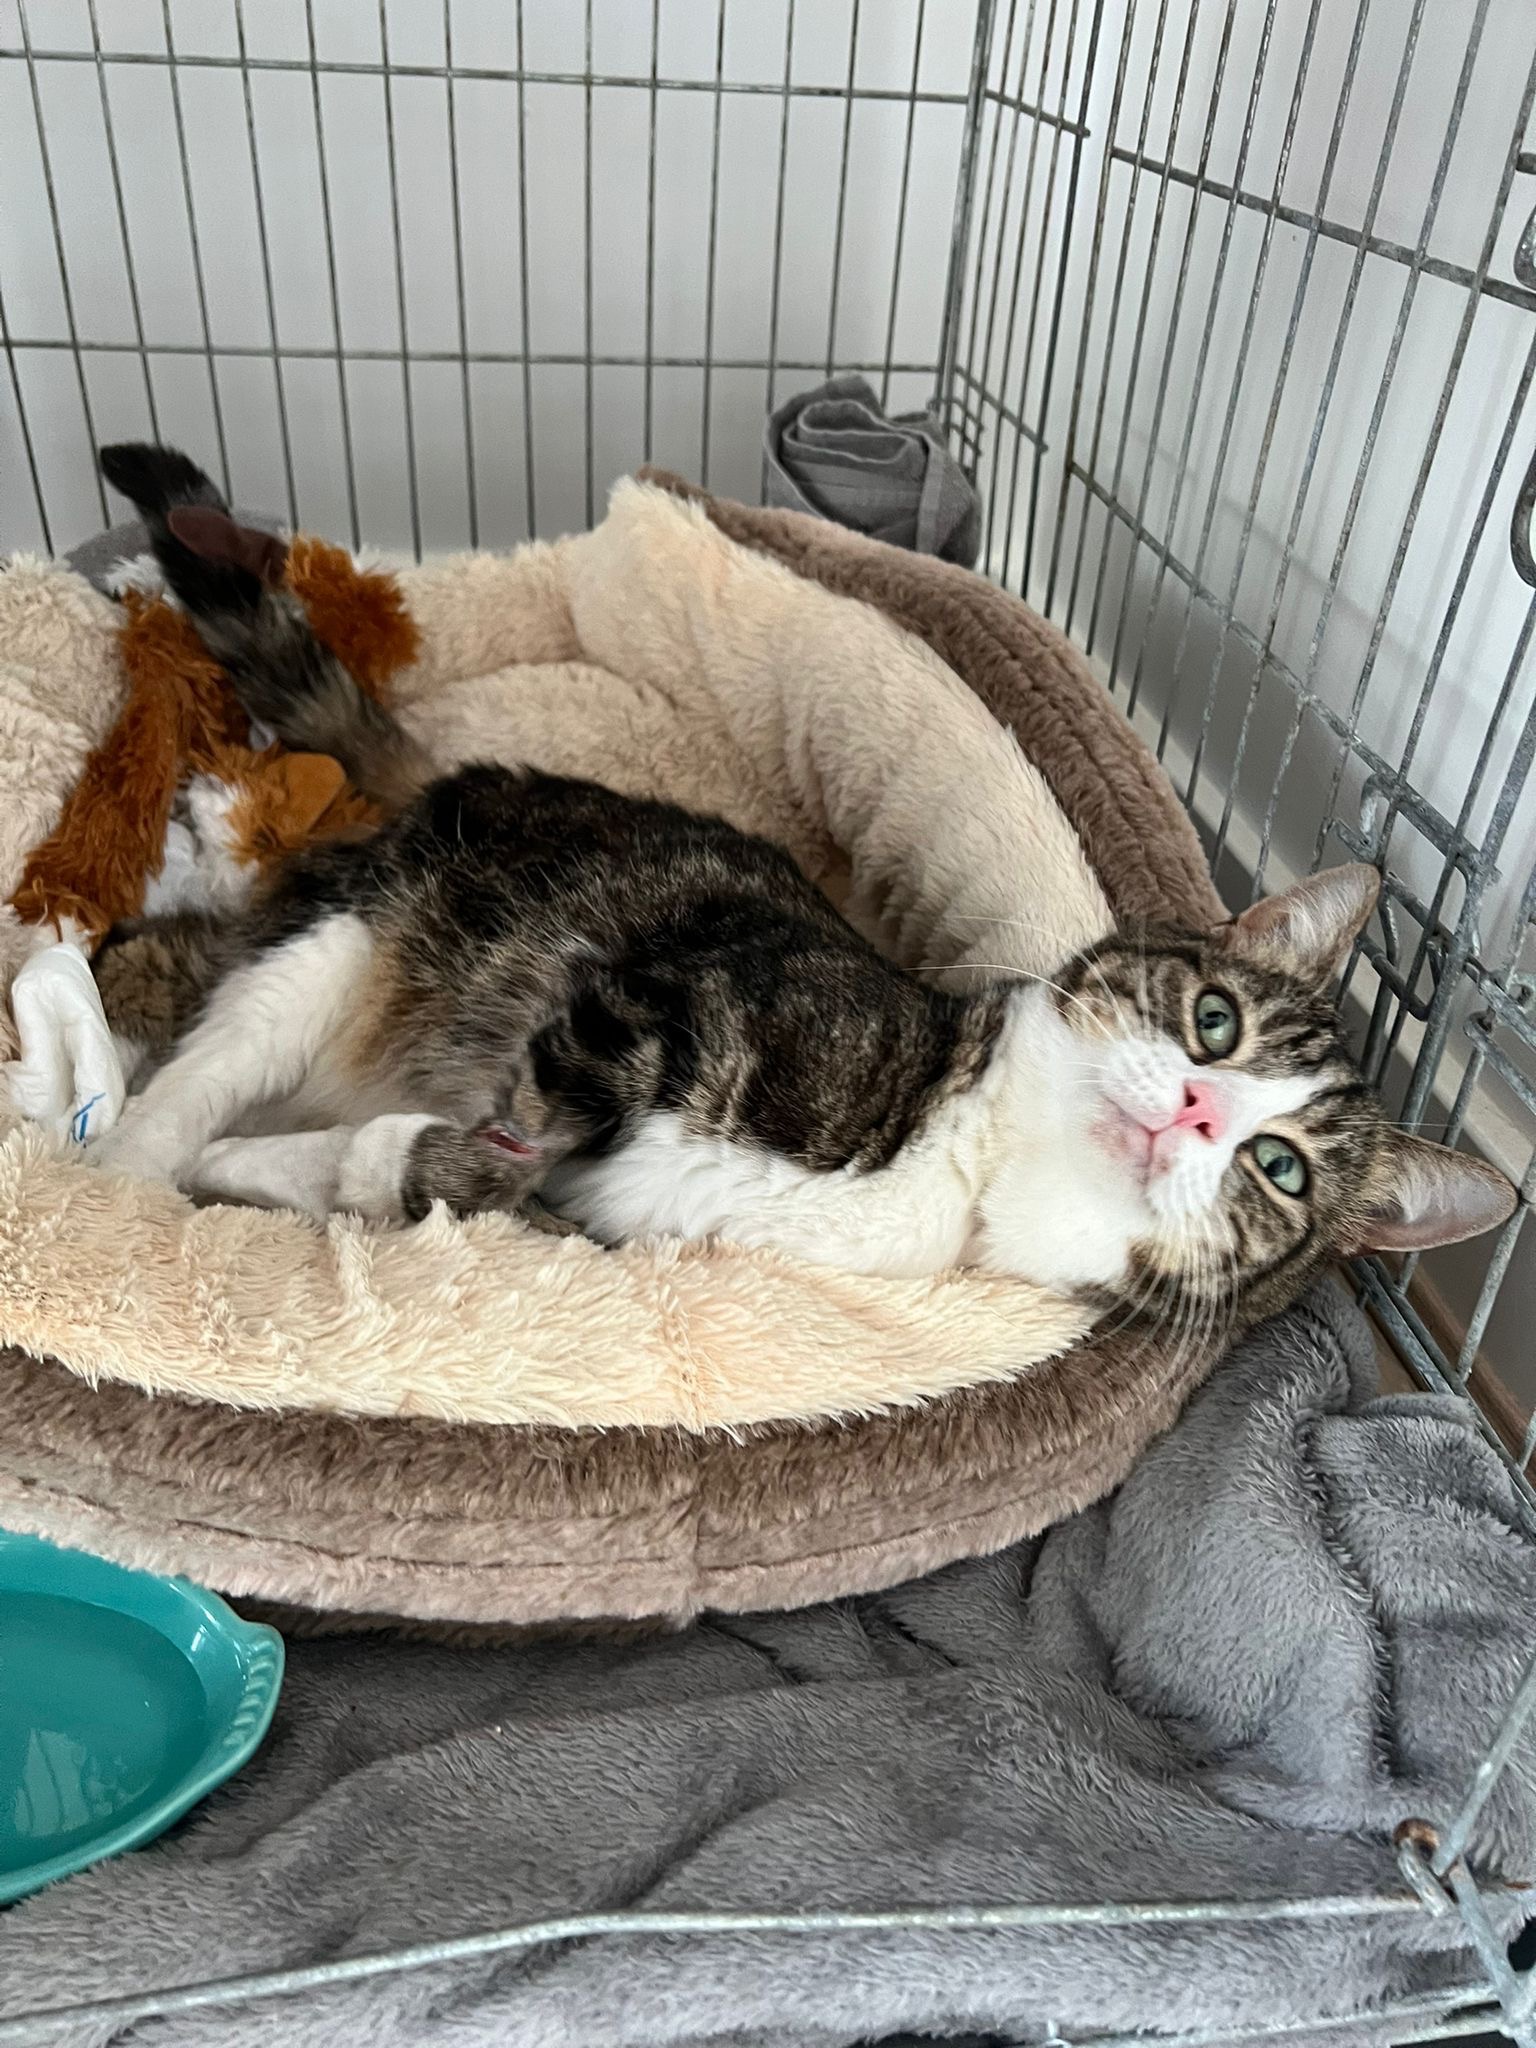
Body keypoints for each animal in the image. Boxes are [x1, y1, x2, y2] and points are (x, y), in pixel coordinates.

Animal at [83, 441, 1514, 1348]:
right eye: (1216, 1020)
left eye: (1279, 1167)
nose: (1203, 1110)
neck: (967, 1156)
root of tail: (455, 772)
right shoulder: (657, 990)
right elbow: (533, 1113)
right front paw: (351, 1158)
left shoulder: (620, 1228)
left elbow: (475, 1181)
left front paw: (355, 1165)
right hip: (347, 936)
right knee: (202, 1062)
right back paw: (117, 1182)